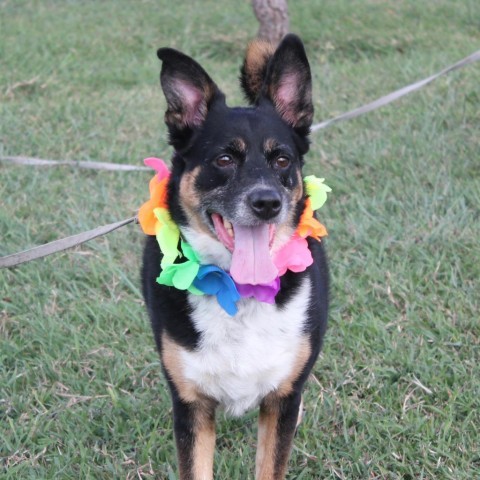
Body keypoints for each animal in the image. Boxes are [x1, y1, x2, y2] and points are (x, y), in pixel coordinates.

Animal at [141, 33, 328, 480]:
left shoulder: (281, 399)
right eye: (224, 159)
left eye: (282, 159)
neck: (241, 291)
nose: (267, 203)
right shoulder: (191, 405)